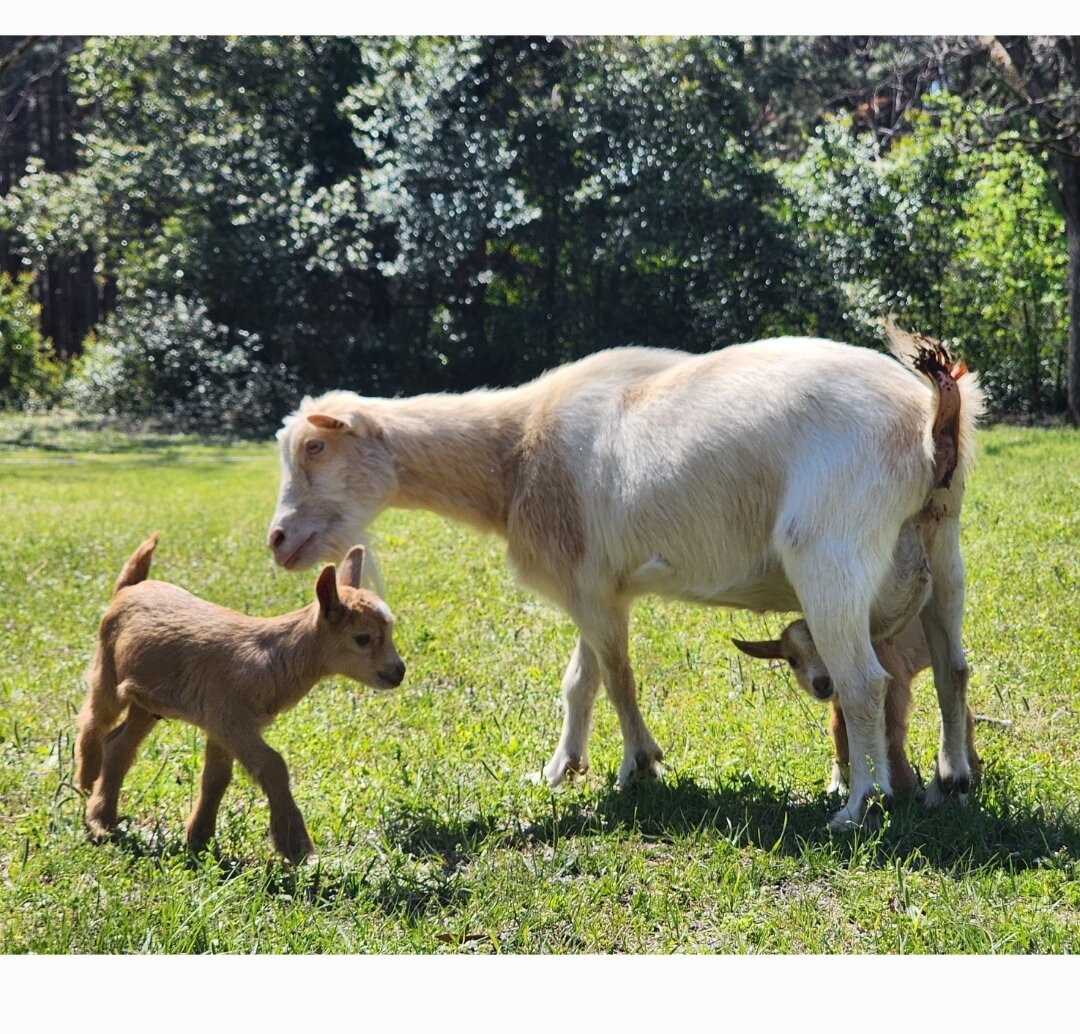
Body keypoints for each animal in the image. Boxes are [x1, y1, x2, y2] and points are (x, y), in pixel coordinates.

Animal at [75, 534, 405, 862]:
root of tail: (129, 587)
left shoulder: (219, 724)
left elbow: (216, 778)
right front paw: (294, 843)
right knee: (95, 720)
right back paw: (88, 787)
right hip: (107, 668)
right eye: (362, 639)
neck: (273, 658)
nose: (398, 671)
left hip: (148, 700)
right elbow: (273, 764)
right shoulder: (231, 719)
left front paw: (199, 840)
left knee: (119, 744)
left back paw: (101, 814)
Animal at [268, 328, 982, 830]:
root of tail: (929, 416)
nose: (276, 540)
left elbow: (616, 678)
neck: (514, 453)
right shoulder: (593, 586)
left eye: (315, 448)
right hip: (943, 545)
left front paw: (638, 766)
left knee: (864, 685)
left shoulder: (589, 588)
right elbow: (580, 680)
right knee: (953, 668)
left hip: (830, 554)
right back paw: (953, 779)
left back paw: (857, 807)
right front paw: (558, 770)